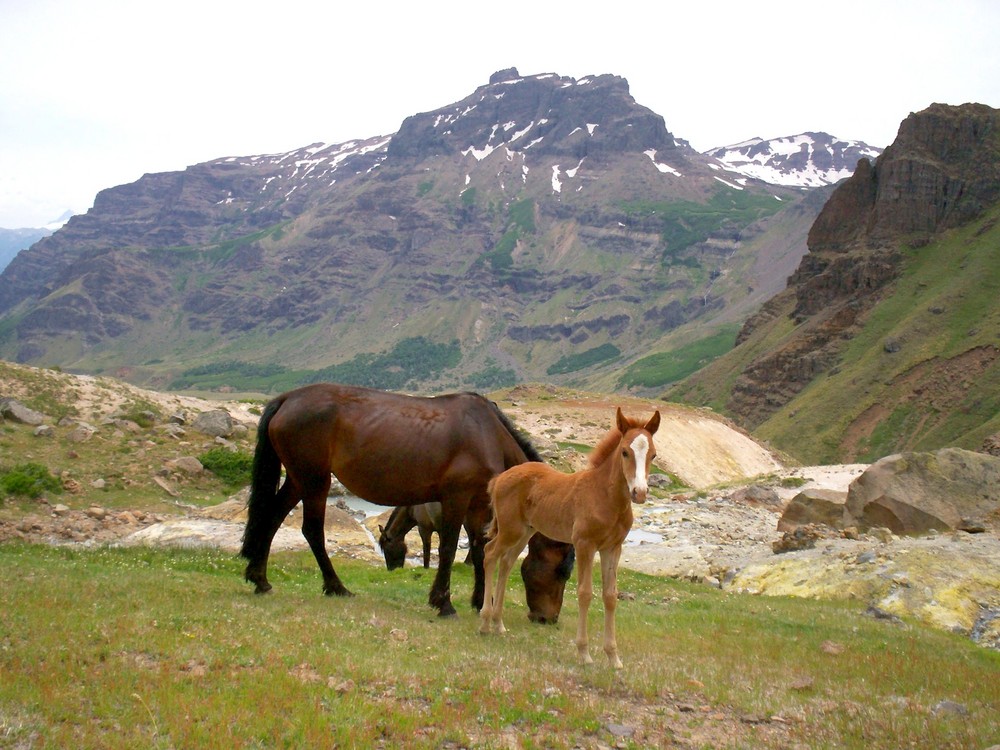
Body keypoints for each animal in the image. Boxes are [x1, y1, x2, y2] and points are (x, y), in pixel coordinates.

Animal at [243, 384, 552, 620]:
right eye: (560, 567)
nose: (546, 618)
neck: (487, 434)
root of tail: (287, 399)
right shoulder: (456, 499)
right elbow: (449, 549)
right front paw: (443, 602)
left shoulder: (478, 505)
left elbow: (479, 550)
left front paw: (478, 602)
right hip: (315, 481)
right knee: (312, 531)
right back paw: (336, 586)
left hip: (298, 480)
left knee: (271, 518)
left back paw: (260, 579)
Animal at [478, 408, 660, 672]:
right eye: (625, 452)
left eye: (653, 455)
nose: (640, 493)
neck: (605, 496)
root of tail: (499, 478)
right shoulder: (585, 544)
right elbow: (585, 593)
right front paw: (584, 653)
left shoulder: (613, 548)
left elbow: (610, 596)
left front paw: (613, 658)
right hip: (510, 529)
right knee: (490, 553)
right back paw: (484, 624)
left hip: (525, 532)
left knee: (507, 562)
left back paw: (499, 624)